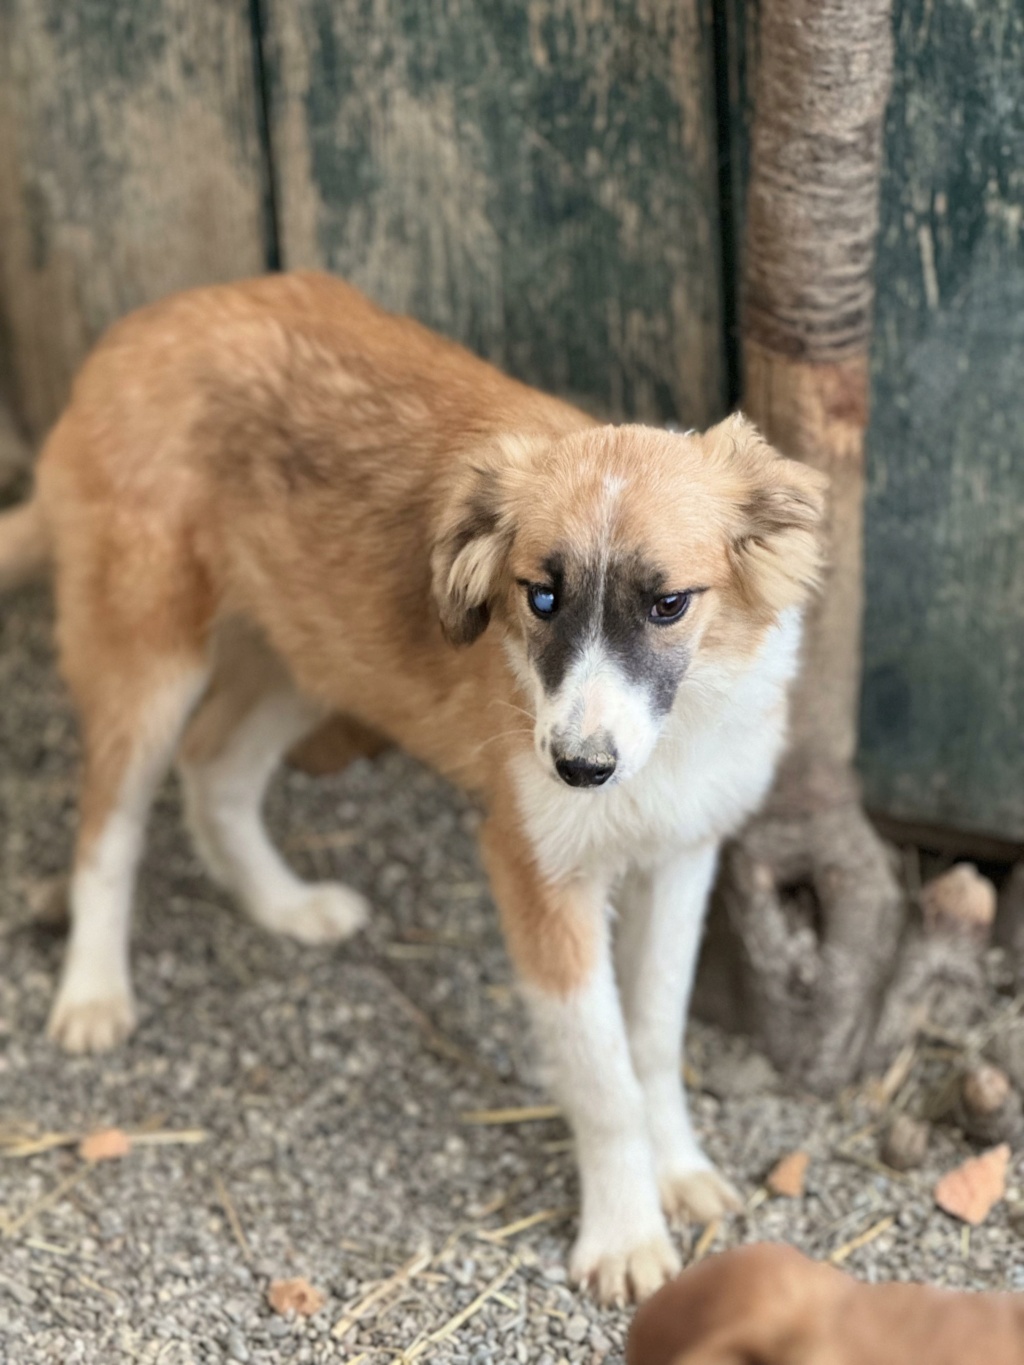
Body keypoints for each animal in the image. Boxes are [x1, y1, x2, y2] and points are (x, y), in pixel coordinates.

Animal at [0, 271, 824, 1304]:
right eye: (539, 596)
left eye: (668, 603)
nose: (578, 768)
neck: (668, 742)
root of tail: (141, 328)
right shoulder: (536, 873)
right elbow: (601, 1073)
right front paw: (624, 1231)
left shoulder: (682, 855)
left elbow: (654, 1039)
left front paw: (677, 1171)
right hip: (147, 662)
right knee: (106, 828)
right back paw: (93, 991)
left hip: (308, 656)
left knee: (214, 767)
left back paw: (284, 905)